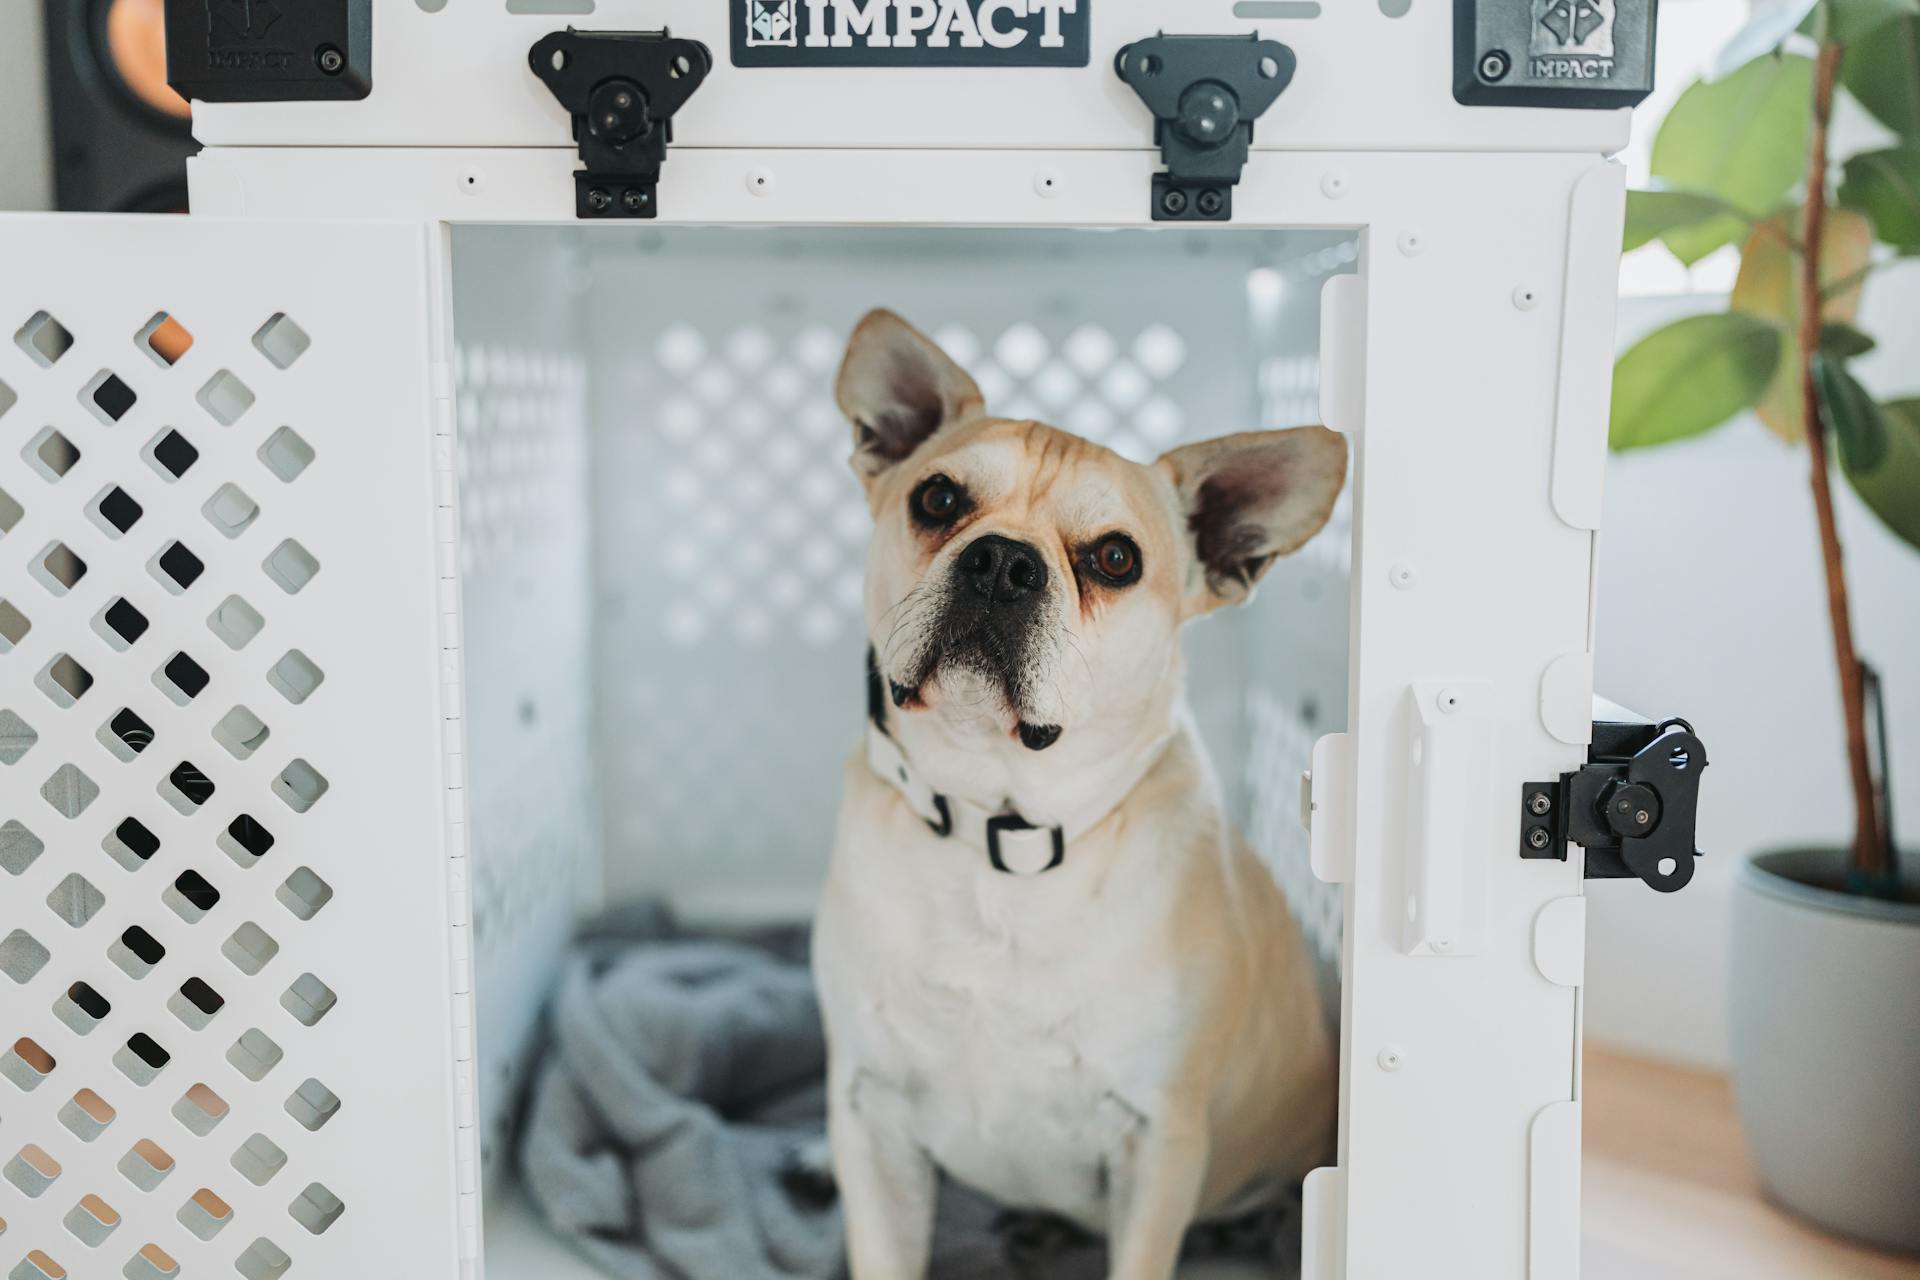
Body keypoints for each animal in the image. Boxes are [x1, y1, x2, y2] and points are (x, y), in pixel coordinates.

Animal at [810, 312, 1336, 1280]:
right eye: (938, 500)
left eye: (1116, 558)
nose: (1002, 562)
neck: (998, 828)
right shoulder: (869, 1121)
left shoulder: (1158, 1144)